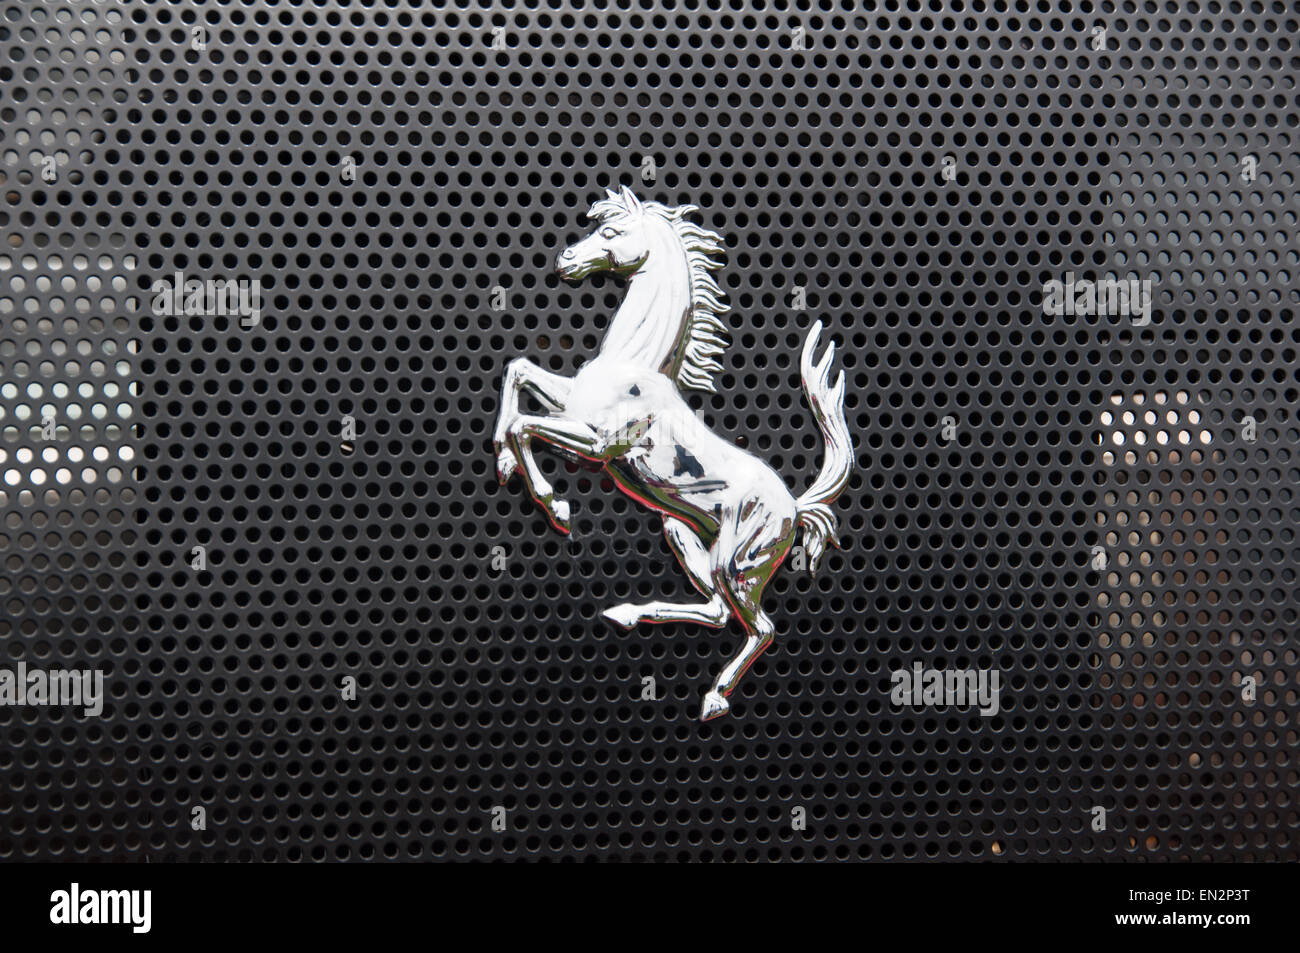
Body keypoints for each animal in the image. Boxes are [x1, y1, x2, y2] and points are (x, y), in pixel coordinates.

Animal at [493, 186, 852, 720]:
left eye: (610, 232)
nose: (565, 260)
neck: (634, 361)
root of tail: (794, 505)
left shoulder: (600, 444)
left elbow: (525, 424)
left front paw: (556, 505)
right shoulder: (571, 405)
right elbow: (517, 372)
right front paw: (502, 461)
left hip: (738, 561)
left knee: (760, 628)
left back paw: (715, 696)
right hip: (681, 530)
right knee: (719, 611)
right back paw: (627, 614)